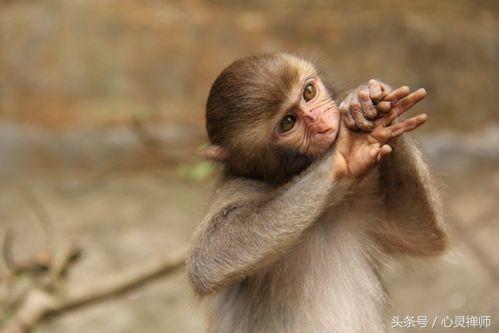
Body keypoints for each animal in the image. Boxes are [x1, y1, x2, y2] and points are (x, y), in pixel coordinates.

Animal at [188, 53, 450, 330]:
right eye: (288, 122)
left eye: (309, 92)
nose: (324, 122)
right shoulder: (235, 186)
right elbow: (208, 258)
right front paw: (347, 150)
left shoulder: (365, 194)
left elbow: (421, 234)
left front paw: (363, 101)